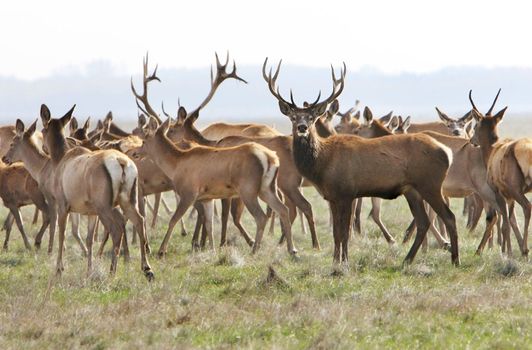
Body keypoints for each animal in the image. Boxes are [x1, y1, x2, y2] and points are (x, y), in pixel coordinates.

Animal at [260, 58, 458, 266]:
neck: (323, 164)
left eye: (312, 117)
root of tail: (447, 152)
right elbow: (335, 233)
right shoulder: (332, 196)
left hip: (430, 184)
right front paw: (335, 261)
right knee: (423, 222)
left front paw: (344, 262)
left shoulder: (347, 192)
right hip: (412, 189)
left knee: (449, 217)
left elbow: (344, 232)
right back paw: (407, 260)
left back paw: (454, 259)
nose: (302, 127)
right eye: (293, 117)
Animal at [468, 89, 528, 256]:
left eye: (475, 126)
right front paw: (508, 251)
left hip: (517, 192)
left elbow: (505, 223)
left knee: (527, 208)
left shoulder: (499, 194)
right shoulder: (509, 198)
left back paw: (525, 250)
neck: (495, 148)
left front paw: (506, 253)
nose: (472, 141)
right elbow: (509, 221)